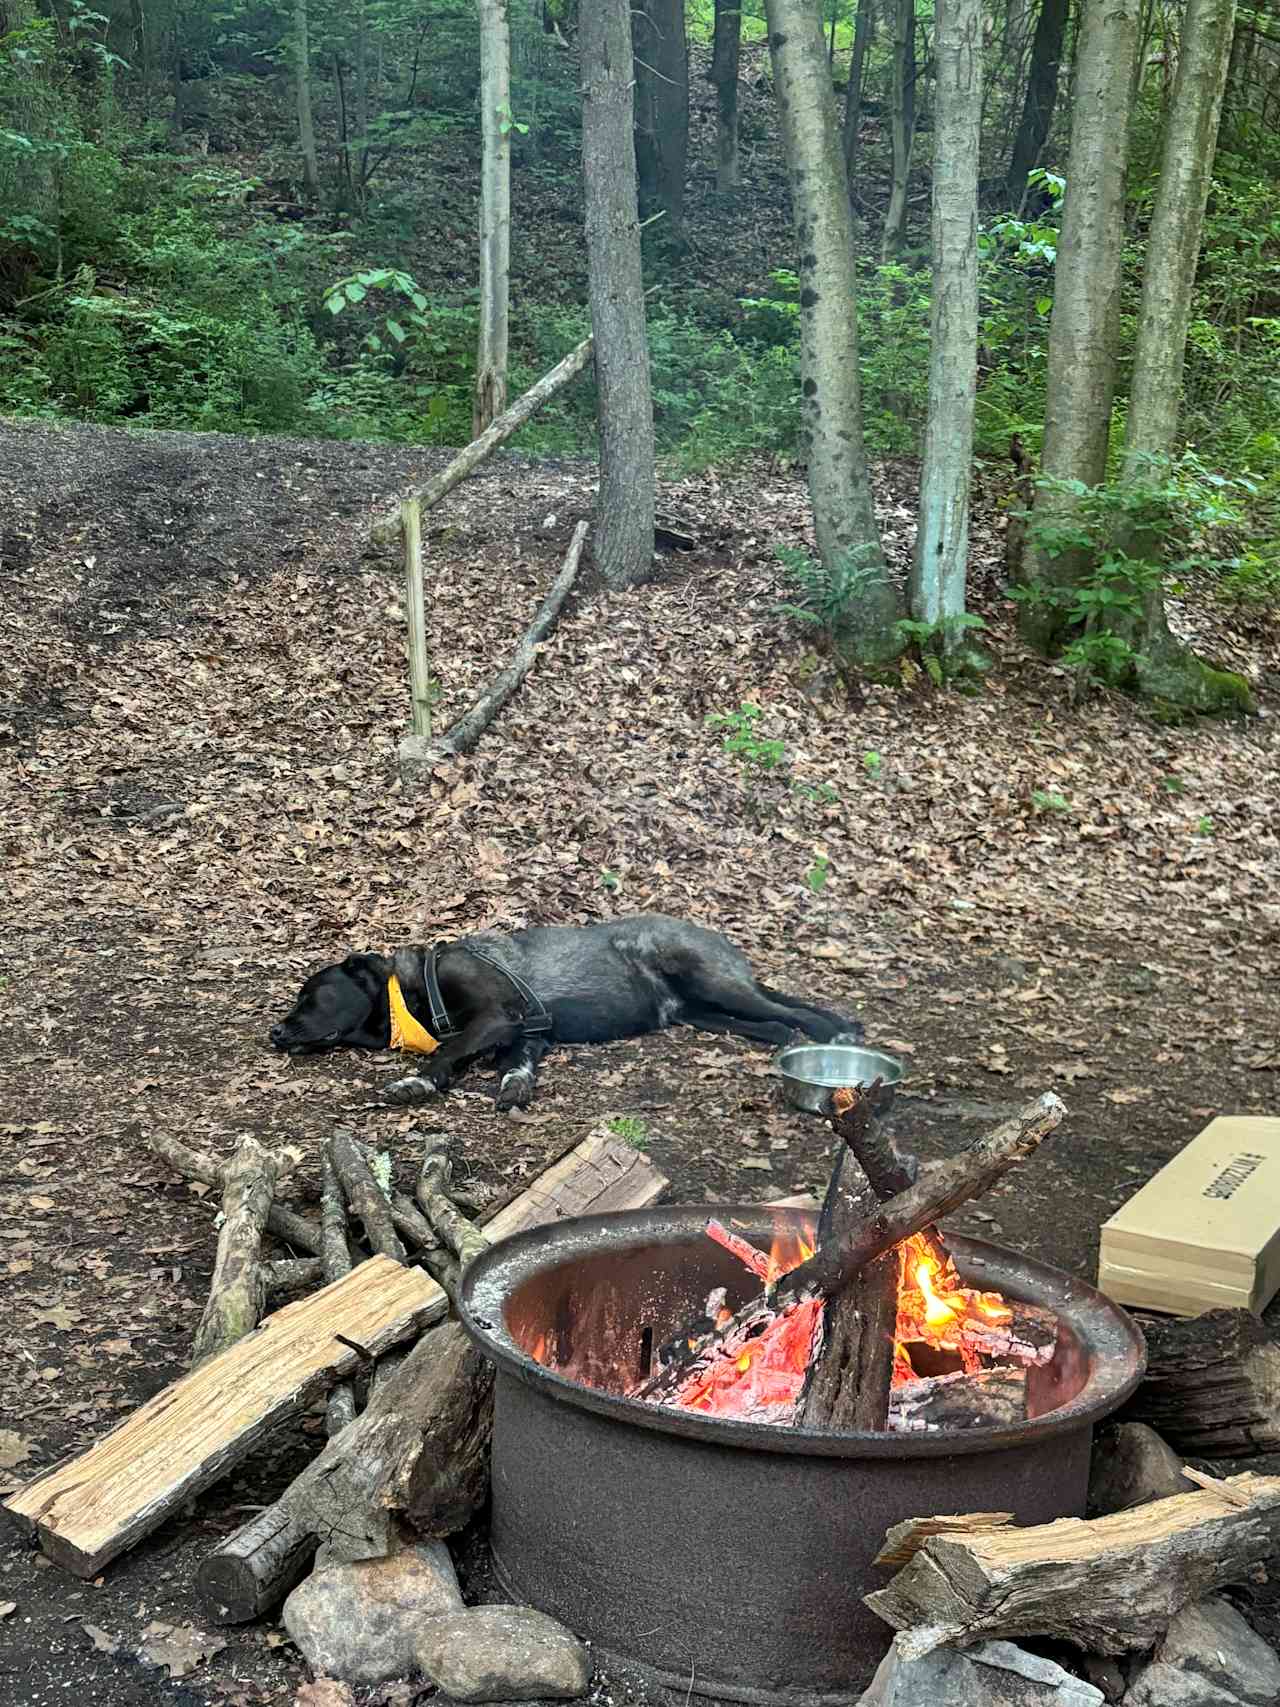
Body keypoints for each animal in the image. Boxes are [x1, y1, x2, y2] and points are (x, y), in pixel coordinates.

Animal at [274, 914, 866, 1112]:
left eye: (311, 995)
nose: (275, 1032)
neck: (411, 997)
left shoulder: (500, 1013)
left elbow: (450, 1047)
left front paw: (417, 1082)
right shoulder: (528, 1029)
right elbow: (514, 1063)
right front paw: (513, 1085)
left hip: (710, 982)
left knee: (790, 1009)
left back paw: (835, 1031)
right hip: (703, 1013)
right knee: (773, 1021)